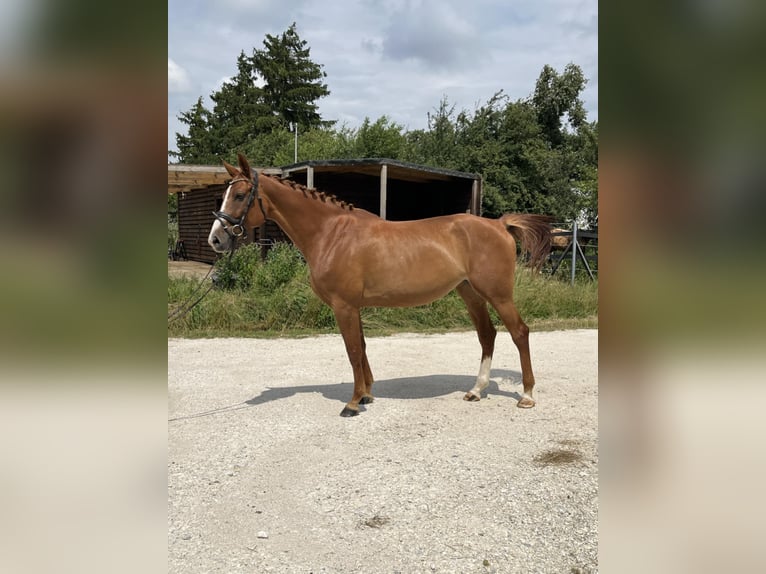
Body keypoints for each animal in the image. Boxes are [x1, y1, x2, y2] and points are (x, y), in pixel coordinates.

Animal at [209, 153, 553, 417]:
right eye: (224, 194)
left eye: (239, 195)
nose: (216, 239)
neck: (331, 233)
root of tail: (499, 224)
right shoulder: (353, 306)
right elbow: (361, 347)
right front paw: (366, 395)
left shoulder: (344, 306)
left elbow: (352, 350)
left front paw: (352, 403)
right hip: (470, 292)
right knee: (487, 334)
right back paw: (476, 390)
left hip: (497, 294)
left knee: (519, 332)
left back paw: (527, 395)